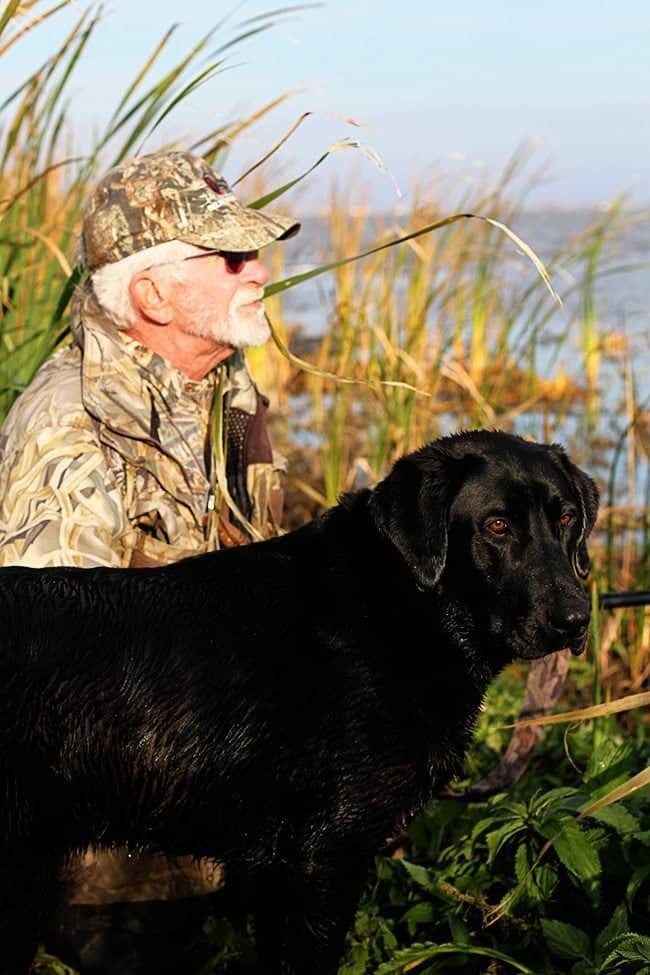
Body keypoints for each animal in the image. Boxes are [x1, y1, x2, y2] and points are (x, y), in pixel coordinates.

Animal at [0, 434, 596, 975]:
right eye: (497, 526)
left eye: (567, 518)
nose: (575, 619)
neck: (398, 606)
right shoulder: (324, 855)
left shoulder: (275, 866)